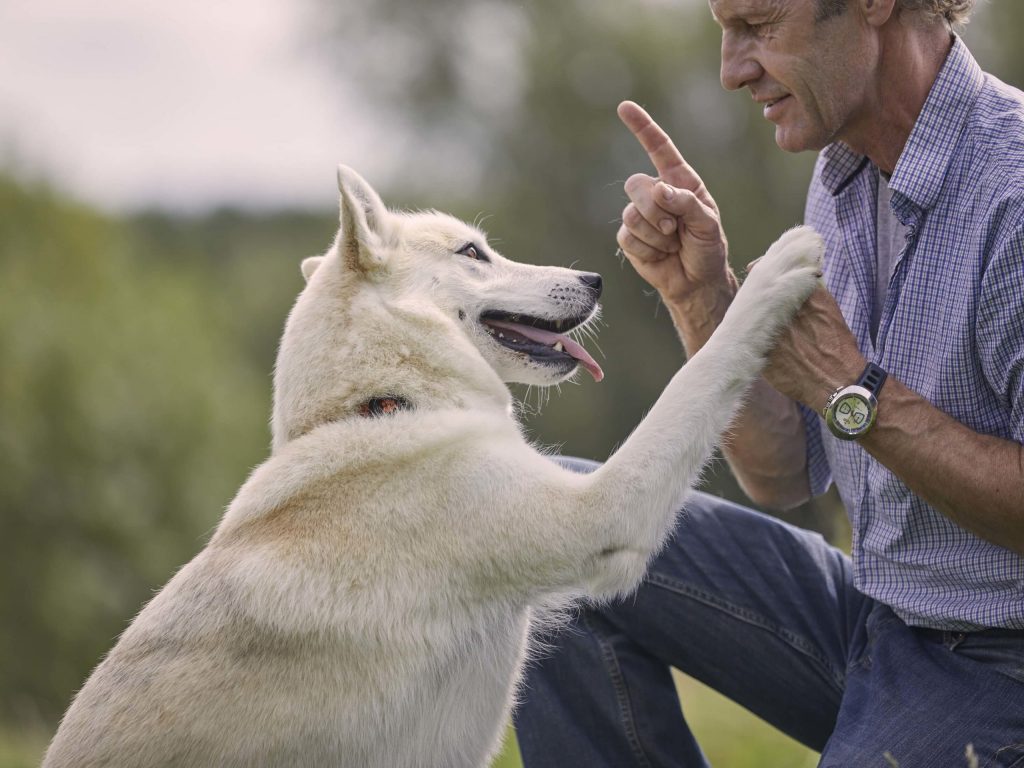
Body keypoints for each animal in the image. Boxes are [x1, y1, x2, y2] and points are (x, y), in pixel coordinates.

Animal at [44, 165, 823, 765]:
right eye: (473, 252)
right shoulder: (605, 510)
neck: (387, 405)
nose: (596, 277)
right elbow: (701, 376)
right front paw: (782, 267)